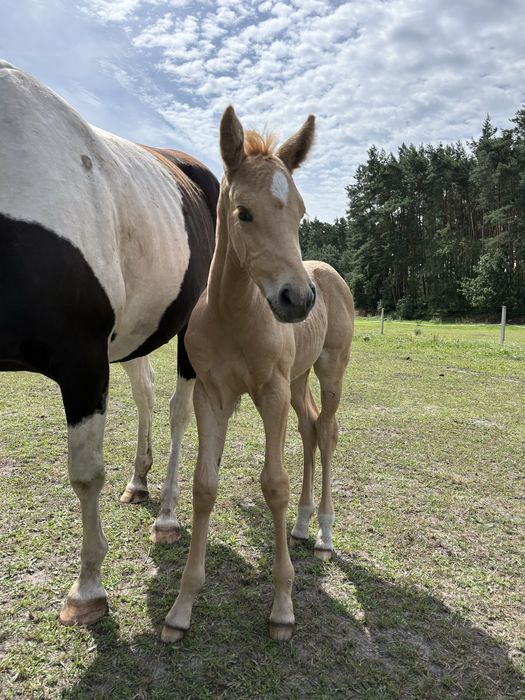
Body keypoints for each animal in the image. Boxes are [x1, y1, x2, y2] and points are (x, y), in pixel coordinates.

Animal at [0, 61, 218, 625]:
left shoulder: (82, 364)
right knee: (145, 393)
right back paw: (138, 482)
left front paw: (87, 591)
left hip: (187, 331)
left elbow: (85, 475)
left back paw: (166, 516)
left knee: (177, 409)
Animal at [161, 106, 354, 642]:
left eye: (301, 212)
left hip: (330, 369)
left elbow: (274, 485)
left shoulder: (269, 391)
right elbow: (205, 486)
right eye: (243, 212)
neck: (234, 314)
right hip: (298, 379)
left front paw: (283, 606)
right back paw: (304, 525)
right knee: (310, 427)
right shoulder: (212, 395)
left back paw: (324, 531)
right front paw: (182, 607)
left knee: (328, 431)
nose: (298, 299)